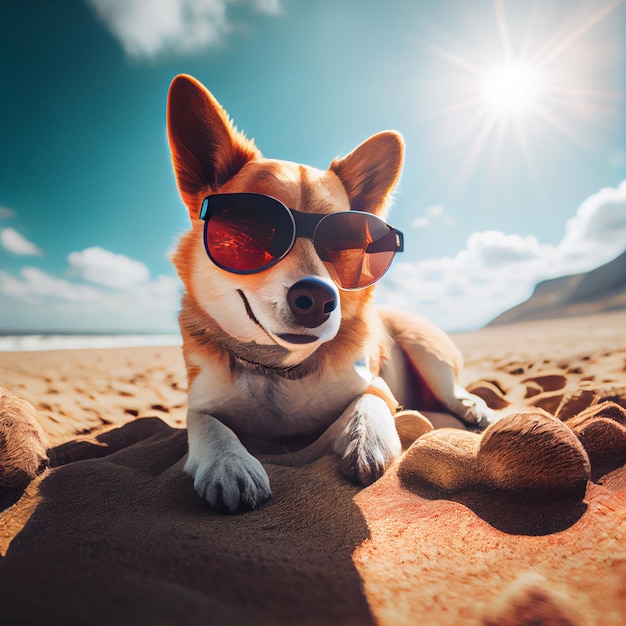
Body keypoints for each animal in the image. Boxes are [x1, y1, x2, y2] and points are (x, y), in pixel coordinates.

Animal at [166, 73, 492, 512]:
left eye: (346, 242)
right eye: (252, 228)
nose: (318, 299)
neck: (282, 368)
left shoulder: (376, 385)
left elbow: (370, 401)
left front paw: (367, 439)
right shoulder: (200, 405)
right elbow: (209, 426)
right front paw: (230, 462)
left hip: (424, 347)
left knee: (453, 389)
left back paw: (475, 408)